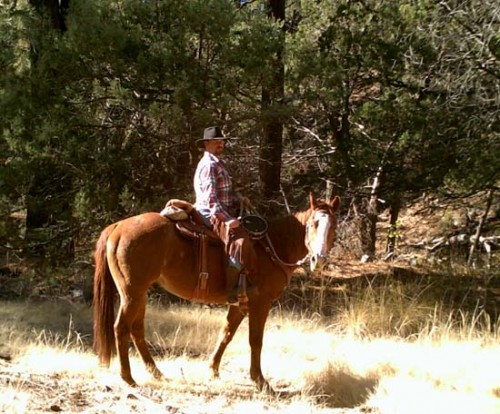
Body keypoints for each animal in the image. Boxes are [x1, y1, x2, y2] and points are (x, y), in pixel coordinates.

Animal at [93, 192, 340, 390]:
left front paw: (213, 369)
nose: (319, 259)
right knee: (121, 328)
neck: (272, 248)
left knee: (137, 330)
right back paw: (128, 378)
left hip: (140, 293)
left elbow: (226, 334)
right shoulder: (260, 304)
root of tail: (118, 227)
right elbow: (255, 340)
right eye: (313, 224)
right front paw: (260, 381)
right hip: (131, 293)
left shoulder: (240, 305)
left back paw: (156, 373)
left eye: (333, 227)